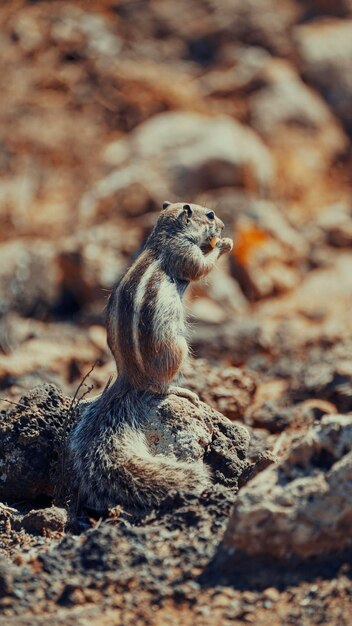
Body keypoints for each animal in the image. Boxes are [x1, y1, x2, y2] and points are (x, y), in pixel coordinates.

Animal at [69, 202, 234, 510]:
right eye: (209, 215)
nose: (223, 225)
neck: (165, 236)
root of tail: (129, 379)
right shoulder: (183, 253)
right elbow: (200, 268)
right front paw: (224, 244)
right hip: (177, 350)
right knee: (160, 389)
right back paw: (184, 392)